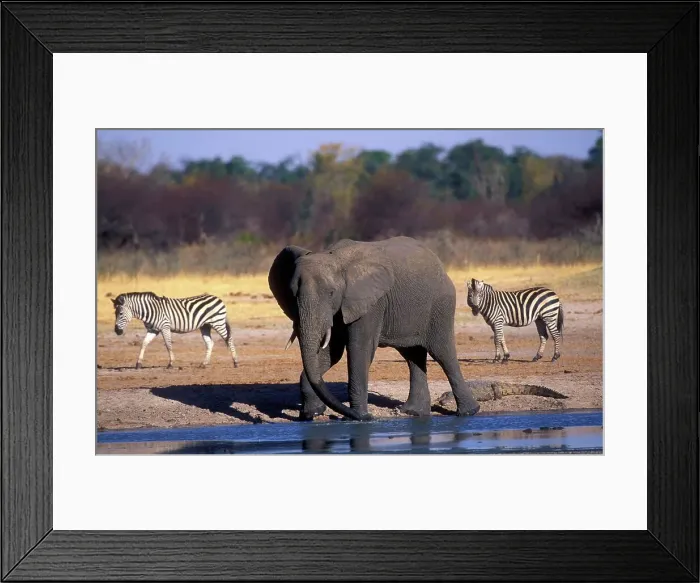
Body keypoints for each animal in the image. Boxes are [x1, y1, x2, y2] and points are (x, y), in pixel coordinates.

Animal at [267, 235, 482, 422]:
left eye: (331, 293)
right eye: (292, 294)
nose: (370, 417)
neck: (334, 256)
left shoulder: (371, 303)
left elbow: (359, 349)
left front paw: (358, 418)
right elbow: (331, 353)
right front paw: (311, 414)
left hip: (440, 305)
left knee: (442, 353)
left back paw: (468, 412)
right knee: (412, 355)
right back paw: (414, 412)